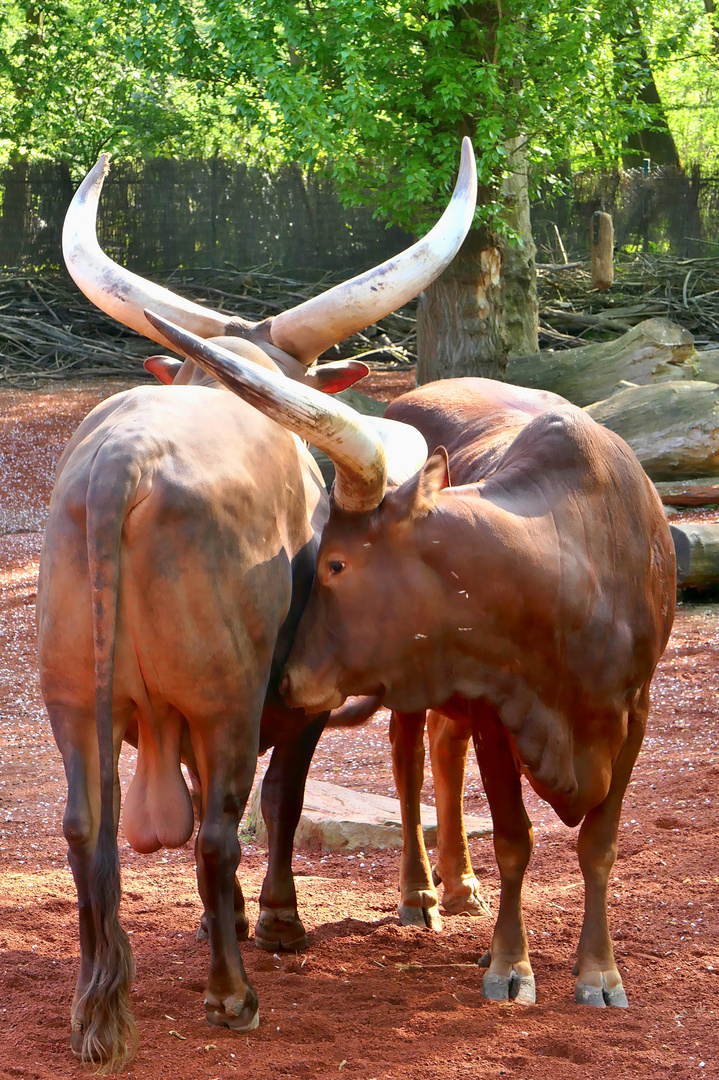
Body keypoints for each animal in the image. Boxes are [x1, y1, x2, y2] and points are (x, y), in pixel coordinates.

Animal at [37, 145, 475, 1071]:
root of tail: (120, 464)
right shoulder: (292, 696)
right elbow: (280, 801)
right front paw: (273, 921)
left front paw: (229, 919)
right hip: (226, 699)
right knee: (217, 830)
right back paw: (232, 996)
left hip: (73, 700)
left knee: (88, 828)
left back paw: (97, 1013)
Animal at [144, 341, 673, 1006]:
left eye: (335, 564)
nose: (287, 682)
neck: (570, 566)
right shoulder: (498, 707)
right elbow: (514, 840)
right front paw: (511, 964)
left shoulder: (633, 713)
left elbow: (598, 845)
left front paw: (599, 971)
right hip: (418, 696)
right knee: (411, 764)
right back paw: (422, 889)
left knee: (446, 751)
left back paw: (460, 882)